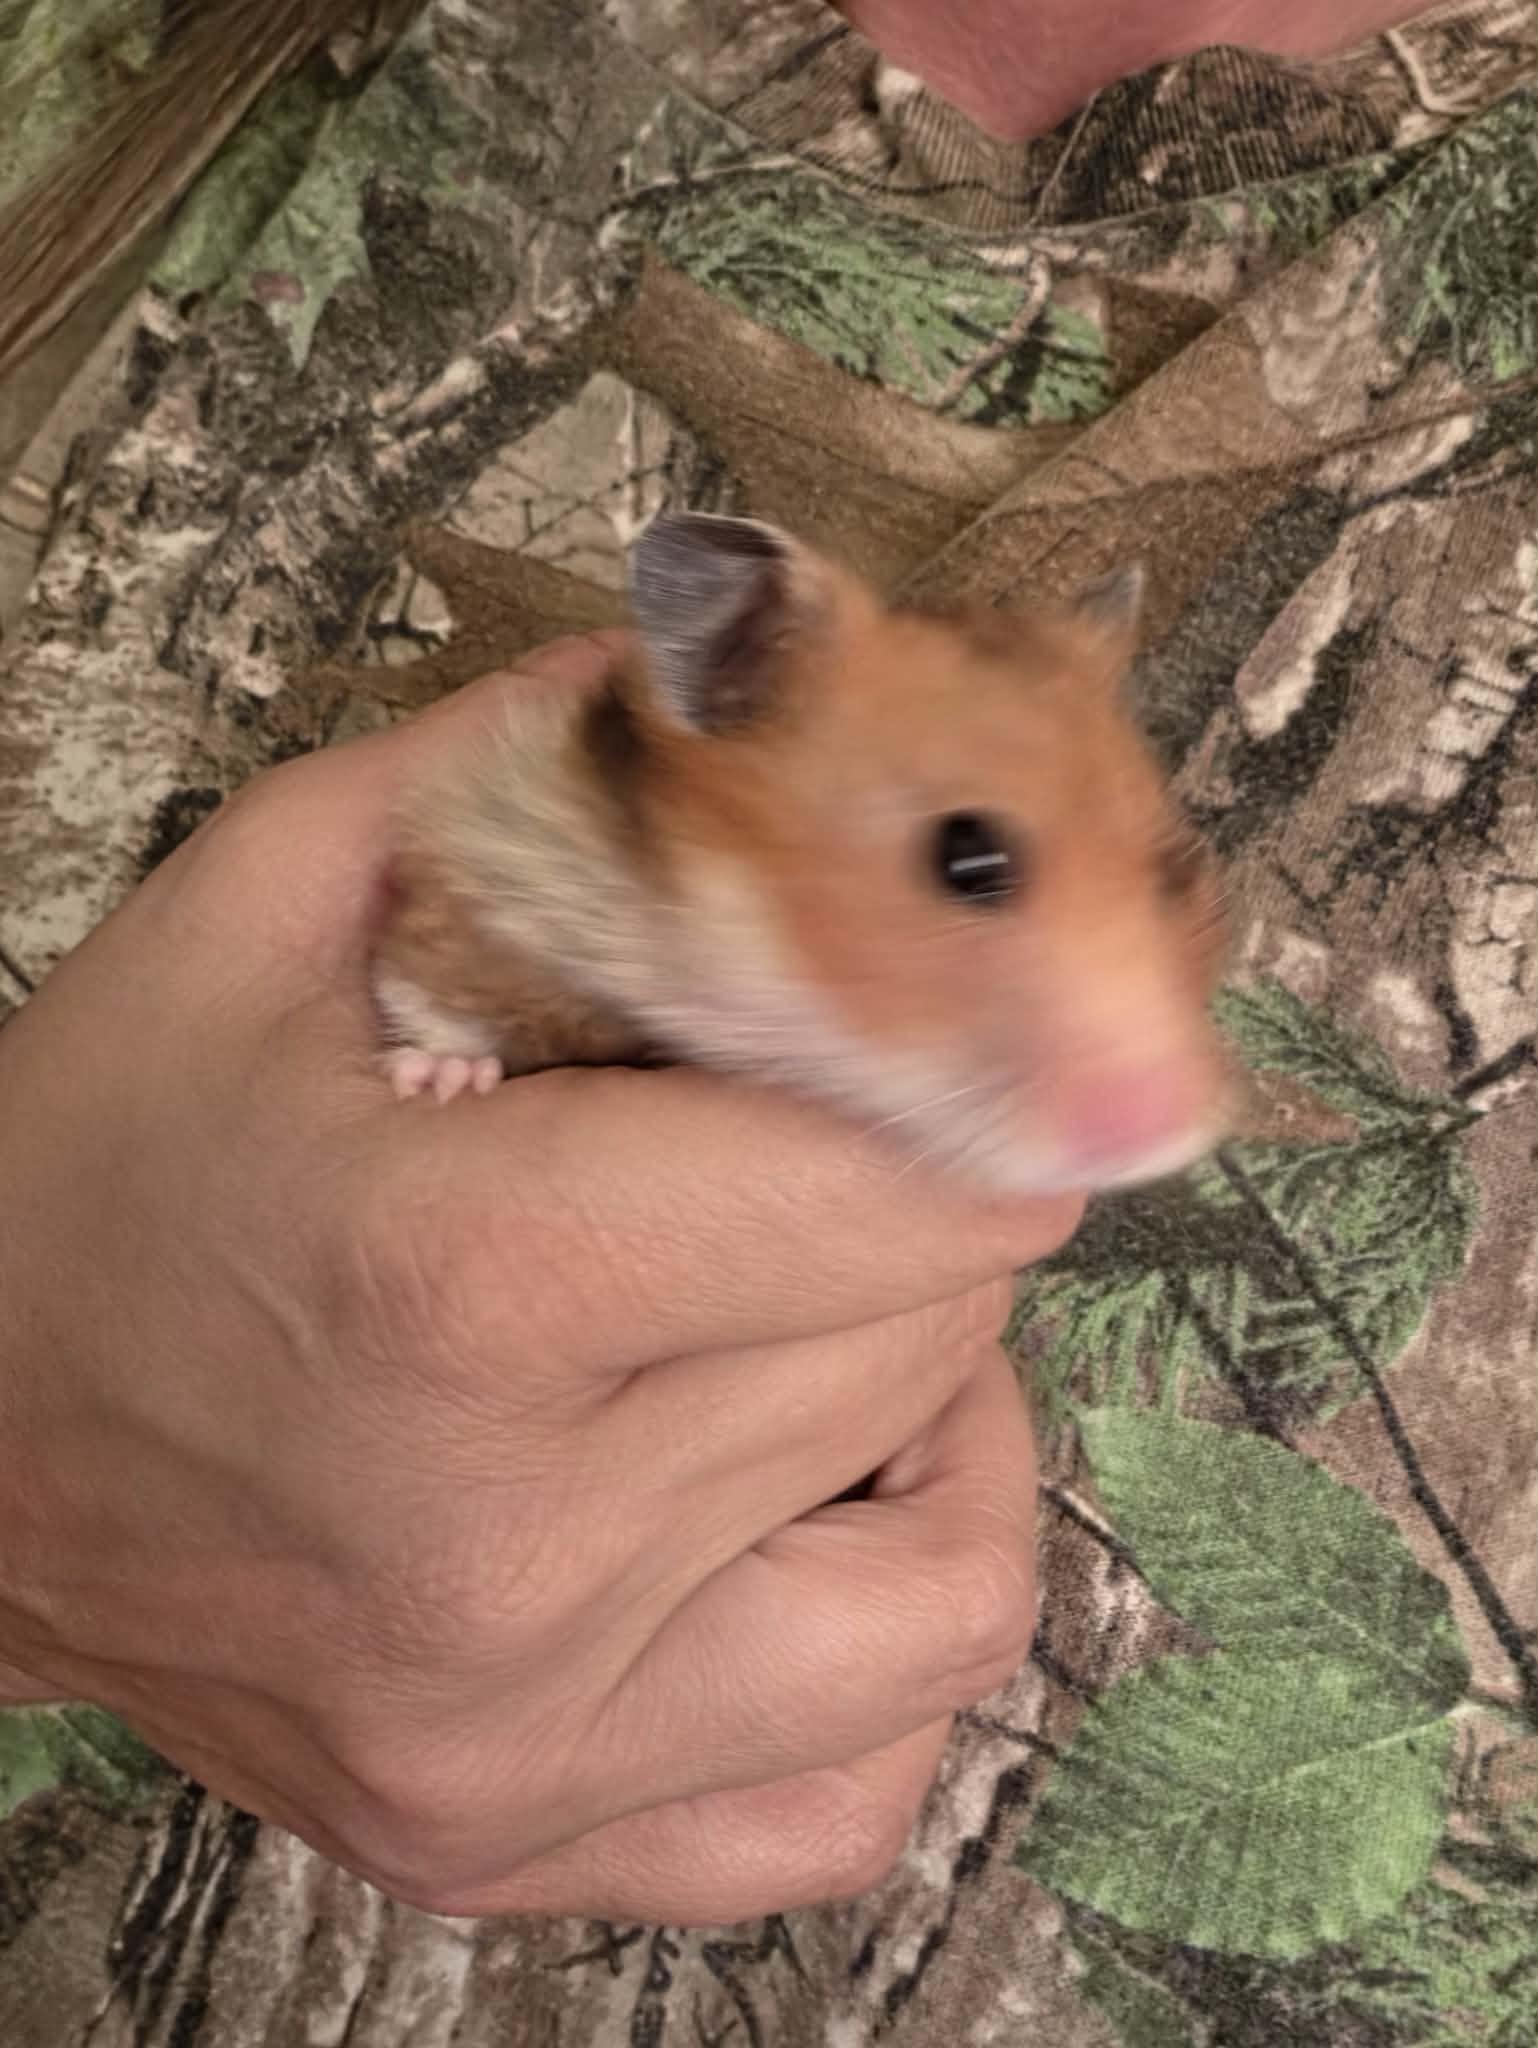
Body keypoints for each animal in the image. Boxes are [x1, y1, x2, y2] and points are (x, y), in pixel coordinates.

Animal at [371, 514, 1230, 1196]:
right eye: (970, 862)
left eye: (1176, 870)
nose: (1164, 1141)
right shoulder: (475, 877)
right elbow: (425, 991)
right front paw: (439, 1084)